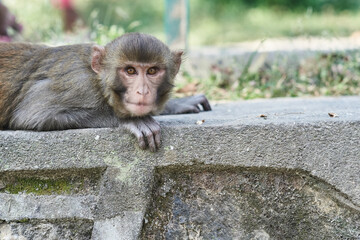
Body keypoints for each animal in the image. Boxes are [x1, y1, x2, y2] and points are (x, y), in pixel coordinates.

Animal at [0, 32, 211, 151]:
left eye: (152, 71)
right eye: (130, 71)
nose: (142, 91)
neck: (98, 82)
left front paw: (180, 103)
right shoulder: (77, 84)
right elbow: (32, 115)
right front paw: (131, 120)